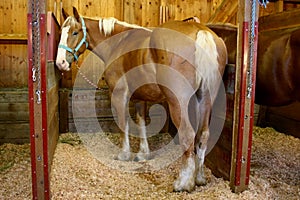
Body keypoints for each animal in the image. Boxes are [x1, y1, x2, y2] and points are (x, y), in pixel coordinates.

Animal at [55, 7, 227, 192]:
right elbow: (141, 122)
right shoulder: (140, 96)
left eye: (75, 32)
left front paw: (124, 154)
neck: (117, 43)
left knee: (187, 134)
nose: (60, 63)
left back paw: (184, 183)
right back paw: (200, 177)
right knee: (203, 134)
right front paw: (143, 154)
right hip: (206, 99)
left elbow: (123, 123)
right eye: (61, 33)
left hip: (177, 102)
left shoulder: (119, 94)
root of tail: (200, 31)